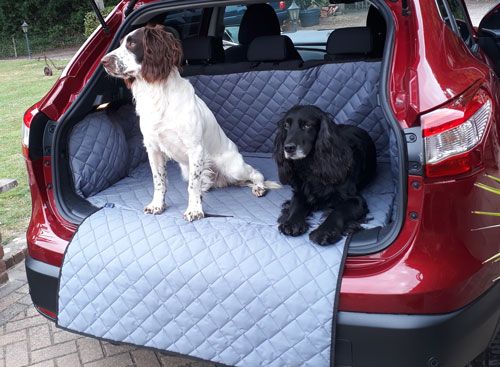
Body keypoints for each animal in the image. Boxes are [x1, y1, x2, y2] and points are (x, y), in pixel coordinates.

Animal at [100, 25, 278, 221]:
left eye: (132, 43)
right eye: (120, 43)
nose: (103, 62)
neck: (157, 93)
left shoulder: (195, 149)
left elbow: (192, 186)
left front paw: (194, 209)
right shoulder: (153, 148)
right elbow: (159, 180)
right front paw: (157, 205)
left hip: (233, 167)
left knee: (255, 174)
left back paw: (259, 187)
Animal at [274, 105, 376, 246]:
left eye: (307, 125)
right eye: (286, 125)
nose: (288, 148)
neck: (312, 165)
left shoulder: (356, 200)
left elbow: (337, 211)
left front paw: (324, 231)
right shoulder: (302, 190)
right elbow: (297, 204)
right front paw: (291, 222)